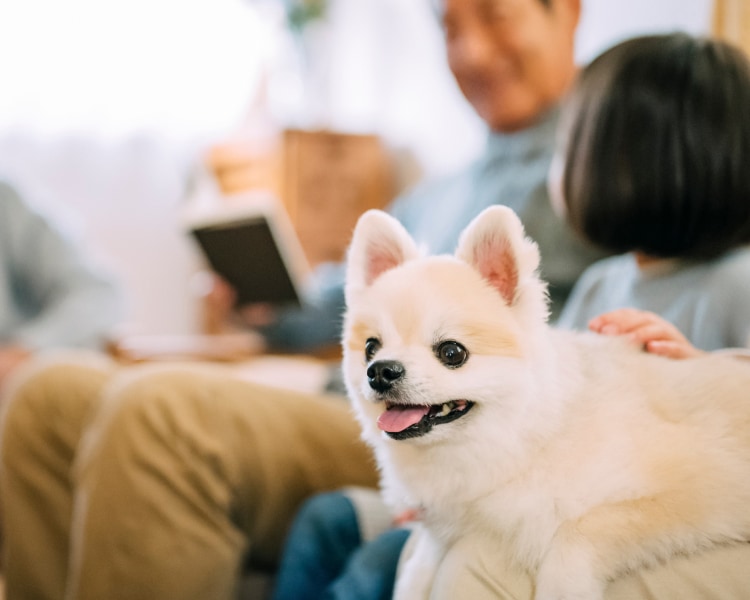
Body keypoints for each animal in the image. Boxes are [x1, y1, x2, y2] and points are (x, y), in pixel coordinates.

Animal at [344, 206, 750, 600]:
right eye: (370, 348)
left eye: (452, 353)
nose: (380, 372)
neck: (524, 441)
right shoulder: (447, 522)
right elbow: (422, 562)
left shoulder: (706, 487)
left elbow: (580, 531)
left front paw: (563, 586)